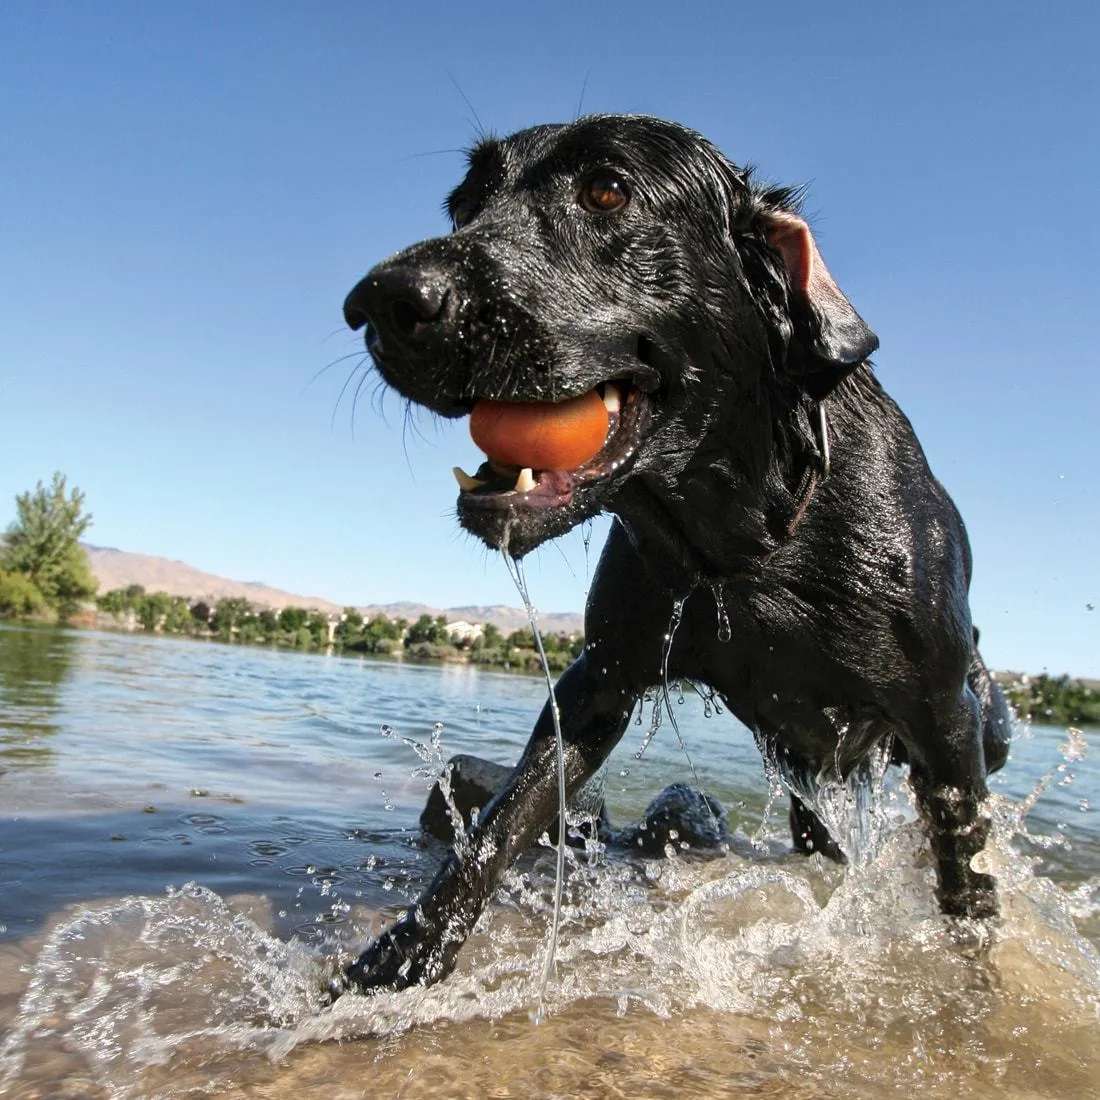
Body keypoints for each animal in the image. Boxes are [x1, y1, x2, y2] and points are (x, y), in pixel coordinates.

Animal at [338, 116, 1007, 994]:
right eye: (464, 204)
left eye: (606, 190)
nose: (378, 303)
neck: (746, 542)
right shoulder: (600, 678)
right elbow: (501, 821)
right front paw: (397, 963)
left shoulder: (943, 724)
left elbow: (969, 881)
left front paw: (974, 988)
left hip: (977, 715)